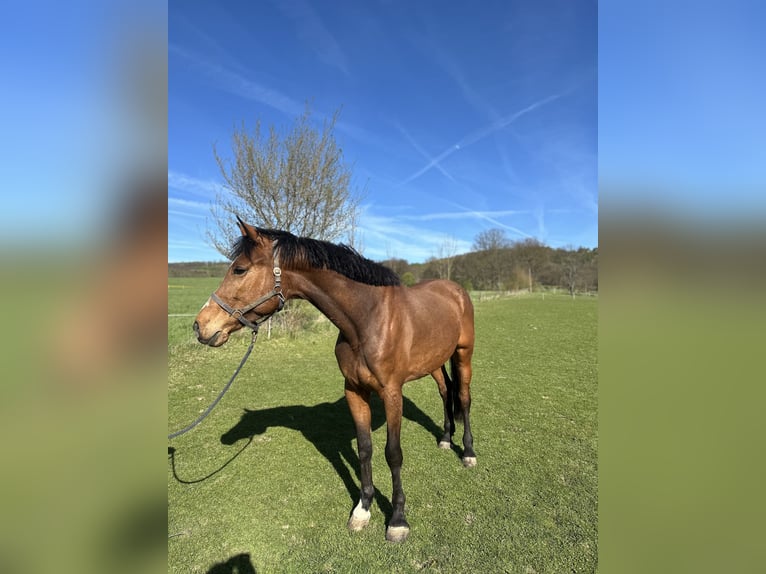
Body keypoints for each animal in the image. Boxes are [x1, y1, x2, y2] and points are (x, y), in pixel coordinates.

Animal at [193, 217, 476, 542]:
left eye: (239, 269)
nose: (200, 326)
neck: (367, 320)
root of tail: (455, 290)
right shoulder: (354, 391)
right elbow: (365, 449)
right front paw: (363, 509)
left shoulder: (392, 393)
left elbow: (393, 453)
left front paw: (397, 520)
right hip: (434, 361)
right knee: (445, 391)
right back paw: (444, 439)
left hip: (463, 354)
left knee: (463, 398)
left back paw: (468, 453)